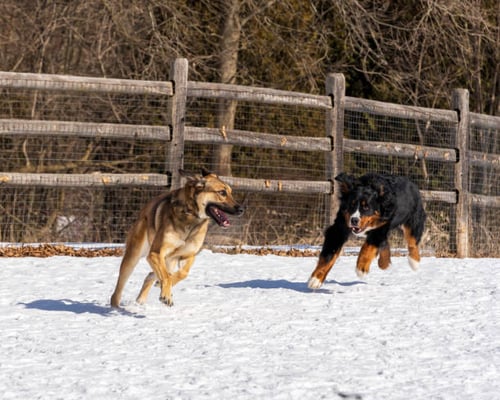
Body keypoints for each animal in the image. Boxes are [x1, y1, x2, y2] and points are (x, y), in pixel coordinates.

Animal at [110, 168, 243, 306]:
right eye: (222, 192)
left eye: (231, 192)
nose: (241, 209)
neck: (192, 216)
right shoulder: (155, 253)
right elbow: (166, 276)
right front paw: (166, 293)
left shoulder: (188, 255)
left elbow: (182, 273)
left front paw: (165, 288)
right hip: (134, 256)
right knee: (119, 287)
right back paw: (116, 306)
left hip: (168, 260)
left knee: (152, 275)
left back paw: (143, 298)